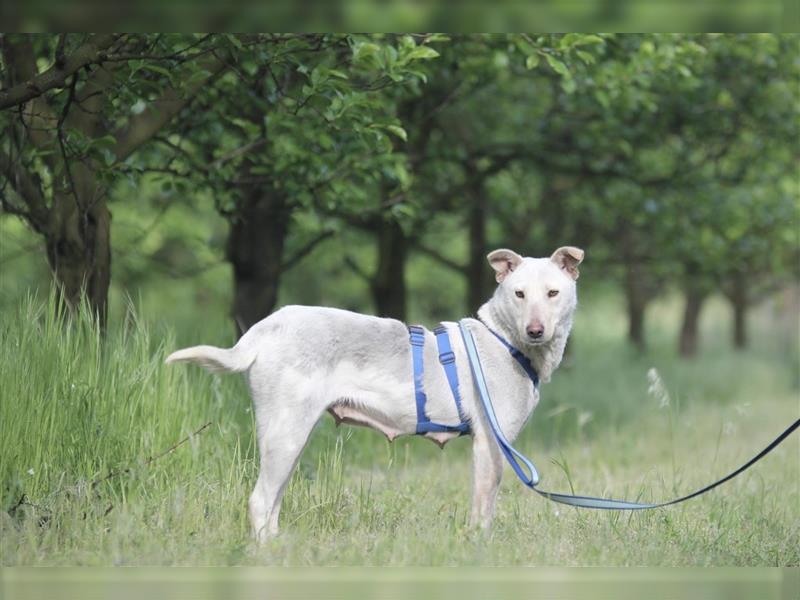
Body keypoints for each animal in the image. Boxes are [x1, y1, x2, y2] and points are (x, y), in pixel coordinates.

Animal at [167, 244, 580, 540]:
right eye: (519, 294)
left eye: (553, 293)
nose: (535, 331)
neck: (504, 339)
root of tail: (265, 328)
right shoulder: (491, 445)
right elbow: (484, 506)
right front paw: (479, 546)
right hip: (287, 433)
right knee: (259, 500)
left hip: (288, 437)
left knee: (273, 501)